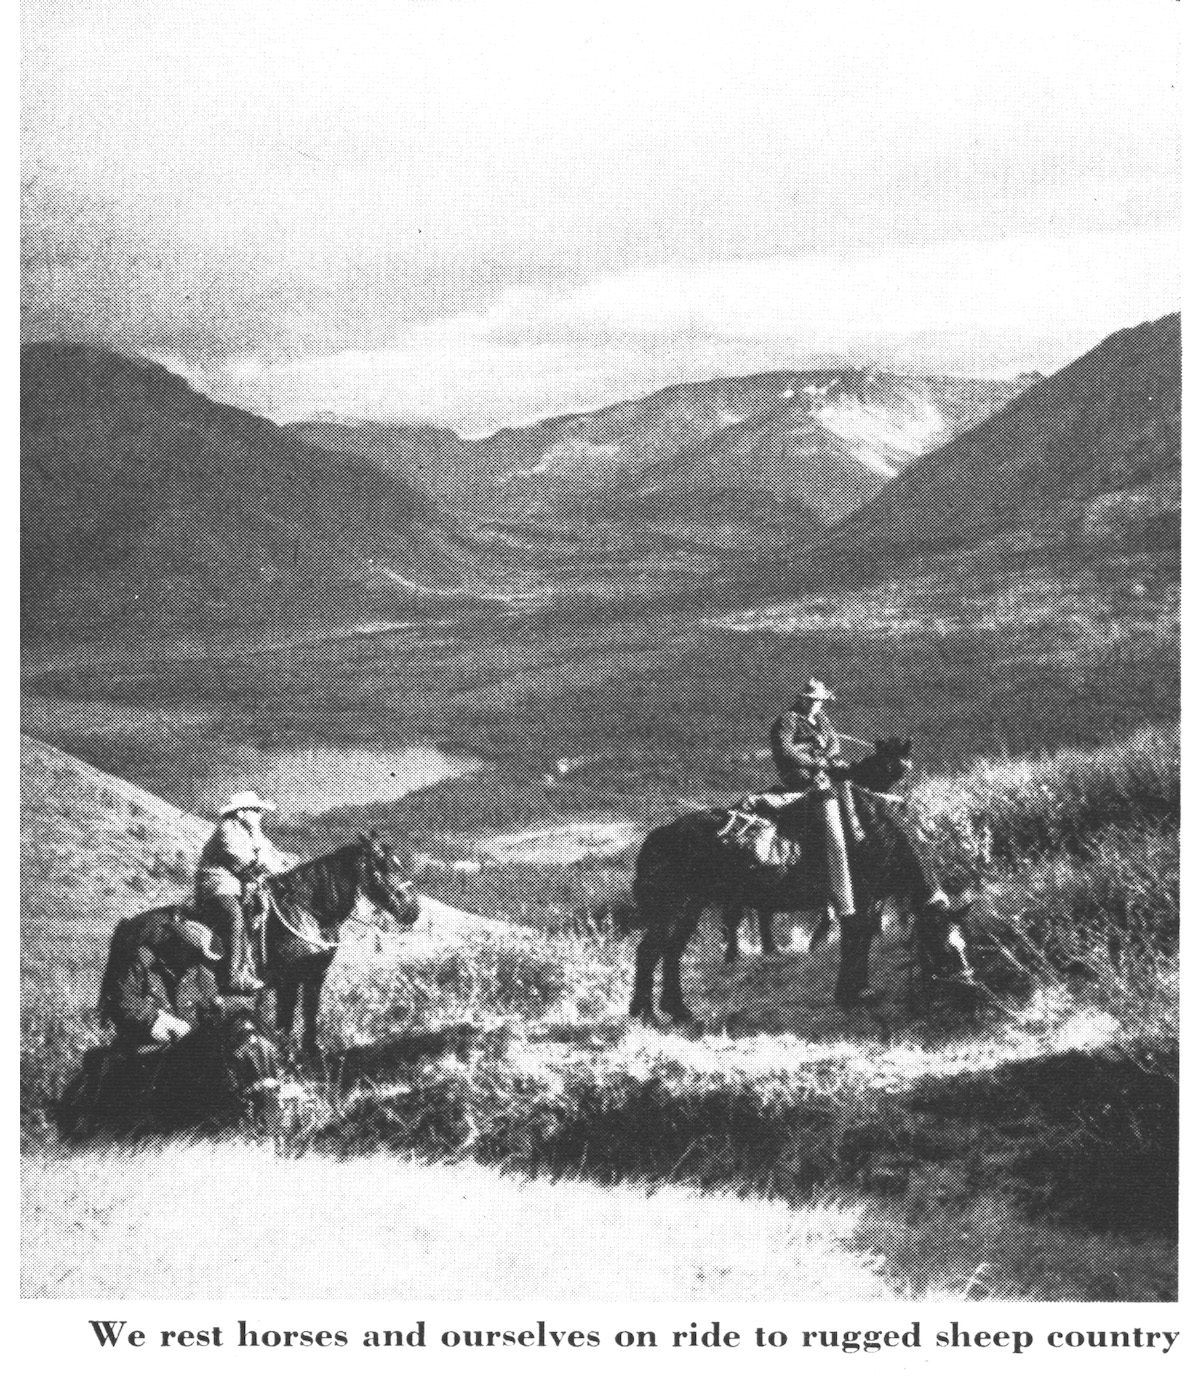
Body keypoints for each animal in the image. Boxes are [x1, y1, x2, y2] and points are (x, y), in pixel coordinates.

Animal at [251, 829, 420, 1044]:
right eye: (383, 866)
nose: (413, 909)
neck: (306, 916)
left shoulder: (315, 976)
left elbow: (309, 1016)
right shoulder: (287, 982)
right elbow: (284, 1025)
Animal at [627, 746, 973, 1028]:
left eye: (965, 944)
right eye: (944, 948)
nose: (968, 989)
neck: (873, 837)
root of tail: (656, 838)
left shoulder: (872, 901)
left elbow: (862, 940)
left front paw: (861, 989)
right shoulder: (857, 901)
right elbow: (853, 941)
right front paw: (848, 995)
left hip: (691, 907)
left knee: (671, 952)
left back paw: (679, 1011)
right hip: (670, 909)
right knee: (649, 952)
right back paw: (644, 1014)